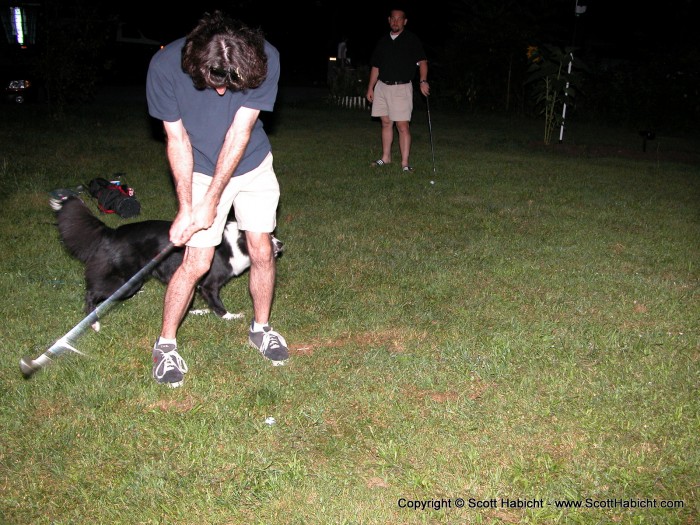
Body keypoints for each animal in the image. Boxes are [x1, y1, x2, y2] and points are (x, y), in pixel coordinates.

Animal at [52, 194, 284, 330]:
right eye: (269, 238)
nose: (281, 245)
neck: (237, 242)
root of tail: (112, 232)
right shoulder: (209, 285)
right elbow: (217, 304)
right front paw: (230, 316)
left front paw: (197, 311)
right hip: (125, 280)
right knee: (91, 292)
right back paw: (94, 322)